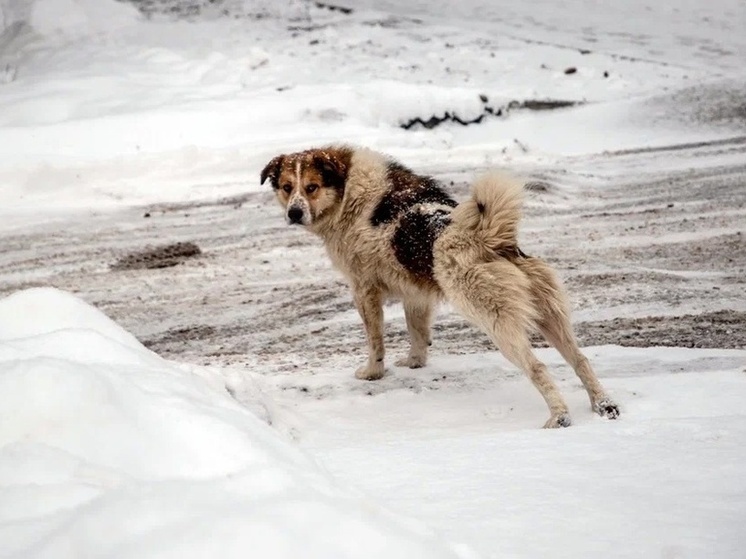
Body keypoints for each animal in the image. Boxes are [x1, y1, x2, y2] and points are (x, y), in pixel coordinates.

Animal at [258, 145, 620, 428]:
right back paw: (603, 405)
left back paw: (559, 417)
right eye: (287, 187)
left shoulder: (364, 290)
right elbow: (417, 332)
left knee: (538, 367)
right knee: (580, 359)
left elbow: (376, 341)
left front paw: (373, 372)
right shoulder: (415, 292)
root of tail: (490, 240)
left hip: (497, 322)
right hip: (550, 316)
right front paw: (415, 364)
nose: (294, 213)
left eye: (312, 187)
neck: (348, 190)